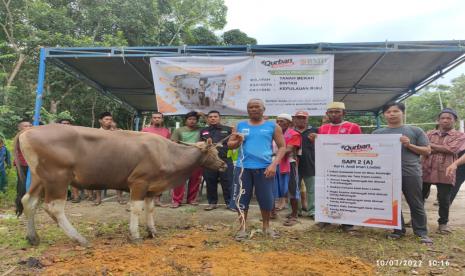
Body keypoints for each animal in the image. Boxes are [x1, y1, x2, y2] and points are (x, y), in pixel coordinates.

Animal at [17, 124, 227, 247]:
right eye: (213, 153)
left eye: (218, 152)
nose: (224, 165)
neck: (167, 153)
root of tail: (28, 130)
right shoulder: (139, 182)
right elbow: (136, 208)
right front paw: (135, 235)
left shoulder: (151, 188)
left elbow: (150, 209)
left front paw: (152, 231)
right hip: (58, 178)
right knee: (53, 207)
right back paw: (79, 239)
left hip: (38, 178)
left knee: (29, 201)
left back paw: (33, 237)